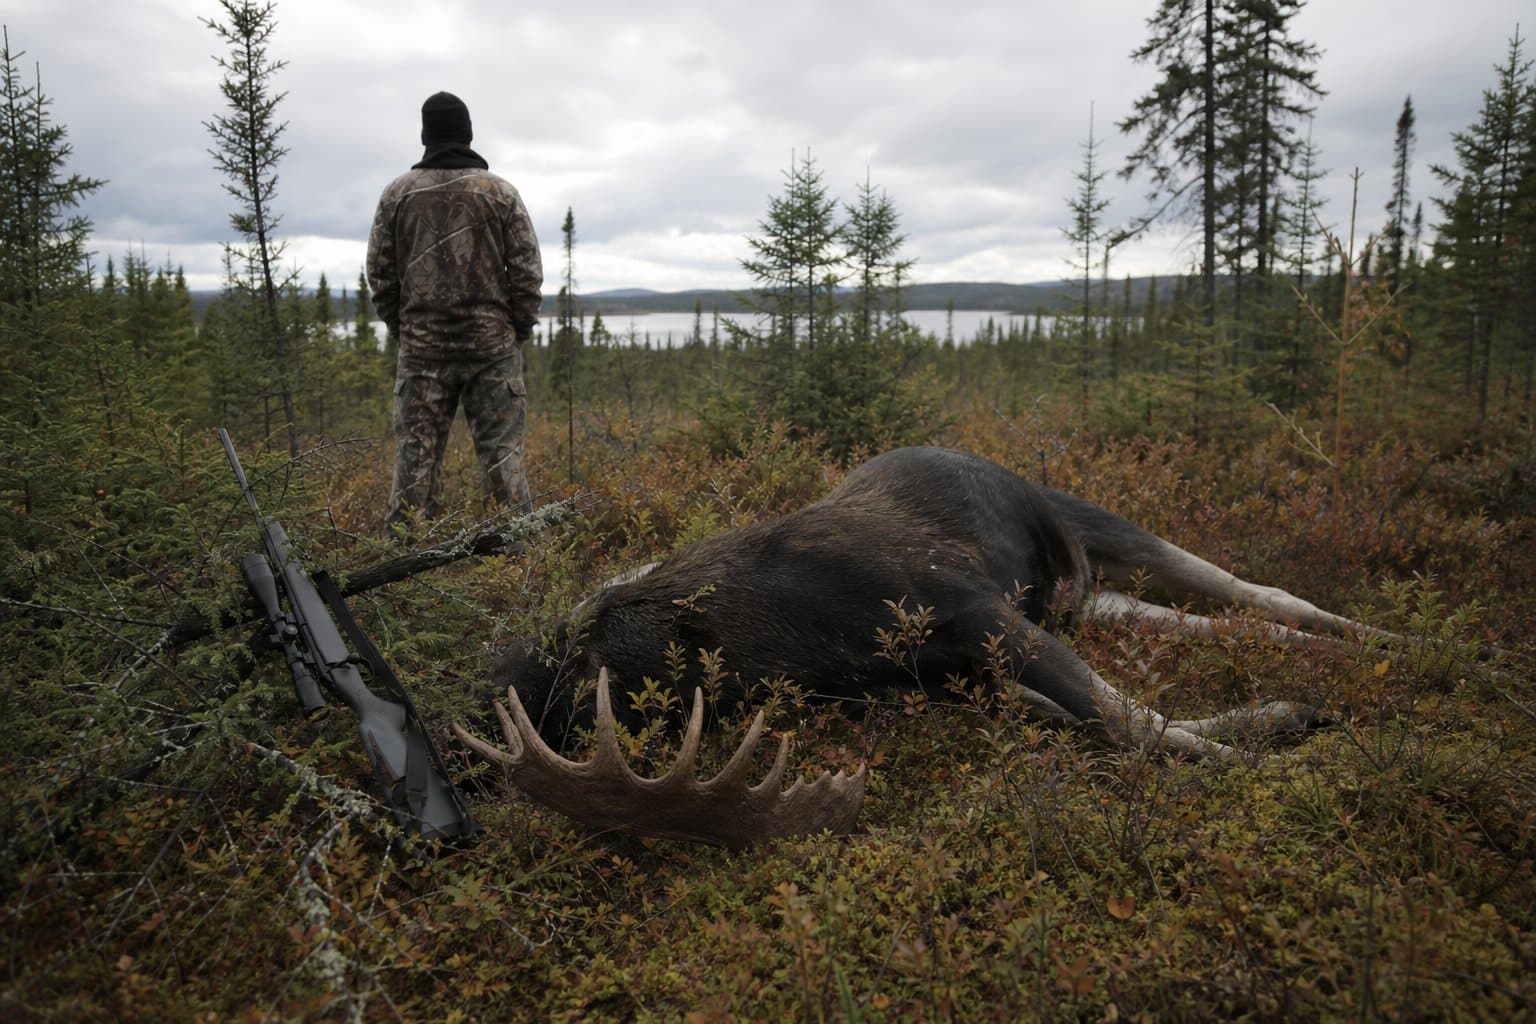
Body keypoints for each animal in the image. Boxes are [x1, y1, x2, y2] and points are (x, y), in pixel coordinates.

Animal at [454, 445, 1398, 849]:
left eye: (599, 675)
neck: (794, 637)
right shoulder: (948, 677)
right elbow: (1099, 721)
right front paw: (1280, 719)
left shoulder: (967, 606)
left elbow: (1128, 721)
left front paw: (1281, 760)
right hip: (1086, 598)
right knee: (1208, 620)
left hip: (1089, 526)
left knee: (1260, 592)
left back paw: (1397, 639)